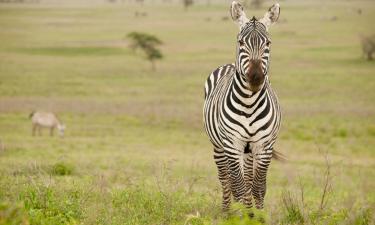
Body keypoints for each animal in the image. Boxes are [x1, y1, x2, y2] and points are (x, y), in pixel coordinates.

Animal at [203, 1, 282, 211]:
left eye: (268, 43)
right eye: (240, 43)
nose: (255, 78)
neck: (249, 103)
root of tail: (229, 64)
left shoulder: (264, 146)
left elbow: (258, 187)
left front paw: (257, 214)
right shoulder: (232, 144)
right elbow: (237, 187)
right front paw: (240, 215)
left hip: (248, 150)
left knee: (247, 180)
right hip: (219, 146)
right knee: (226, 180)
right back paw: (226, 211)